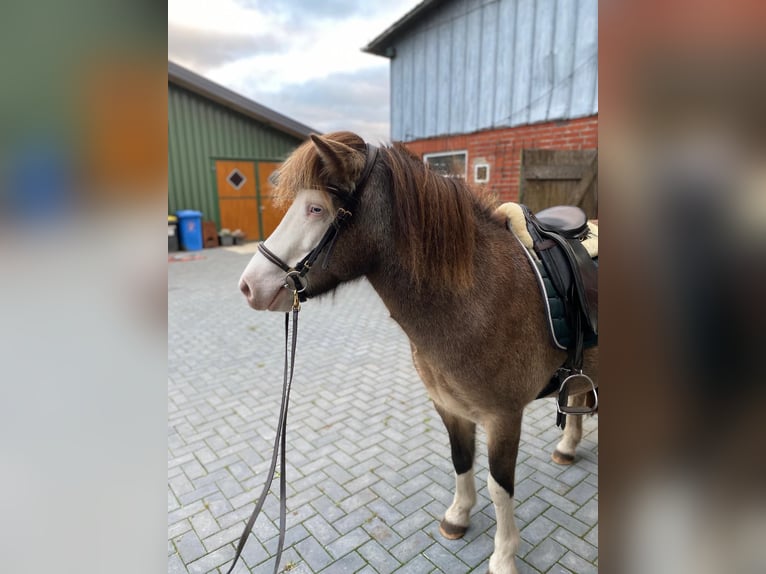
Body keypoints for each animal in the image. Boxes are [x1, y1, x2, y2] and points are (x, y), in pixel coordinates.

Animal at [238, 131, 598, 574]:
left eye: (316, 208)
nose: (250, 286)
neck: (477, 298)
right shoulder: (450, 408)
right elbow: (461, 460)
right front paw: (458, 516)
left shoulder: (503, 418)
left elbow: (500, 488)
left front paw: (503, 555)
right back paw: (567, 449)